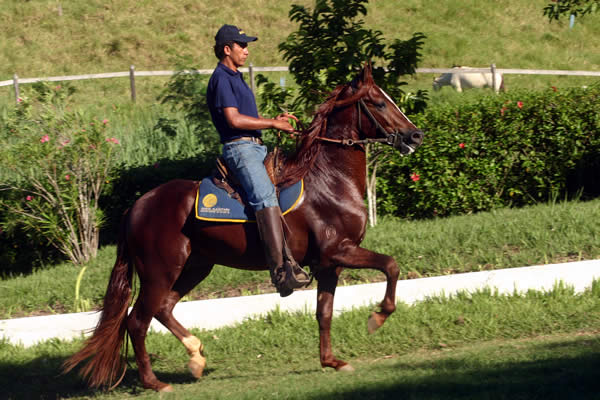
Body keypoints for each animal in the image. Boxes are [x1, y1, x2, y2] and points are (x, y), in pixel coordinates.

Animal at [63, 64, 424, 392]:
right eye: (378, 103)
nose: (415, 135)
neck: (329, 181)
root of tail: (136, 207)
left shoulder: (328, 264)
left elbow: (324, 312)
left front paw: (332, 361)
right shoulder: (341, 251)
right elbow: (391, 265)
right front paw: (378, 317)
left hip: (196, 266)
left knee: (163, 309)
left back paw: (196, 356)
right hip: (159, 273)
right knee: (137, 321)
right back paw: (155, 383)